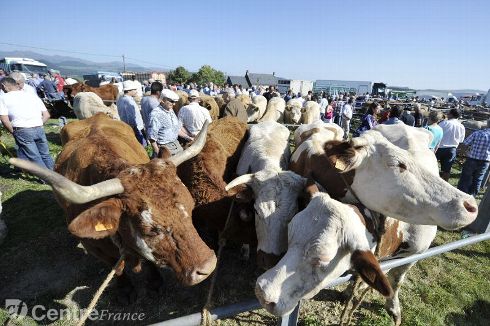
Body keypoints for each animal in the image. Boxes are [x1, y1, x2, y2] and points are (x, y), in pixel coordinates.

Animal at [9, 112, 216, 290]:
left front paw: (155, 280)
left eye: (191, 208)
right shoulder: (96, 250)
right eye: (150, 230)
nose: (208, 266)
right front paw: (126, 290)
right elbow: (117, 270)